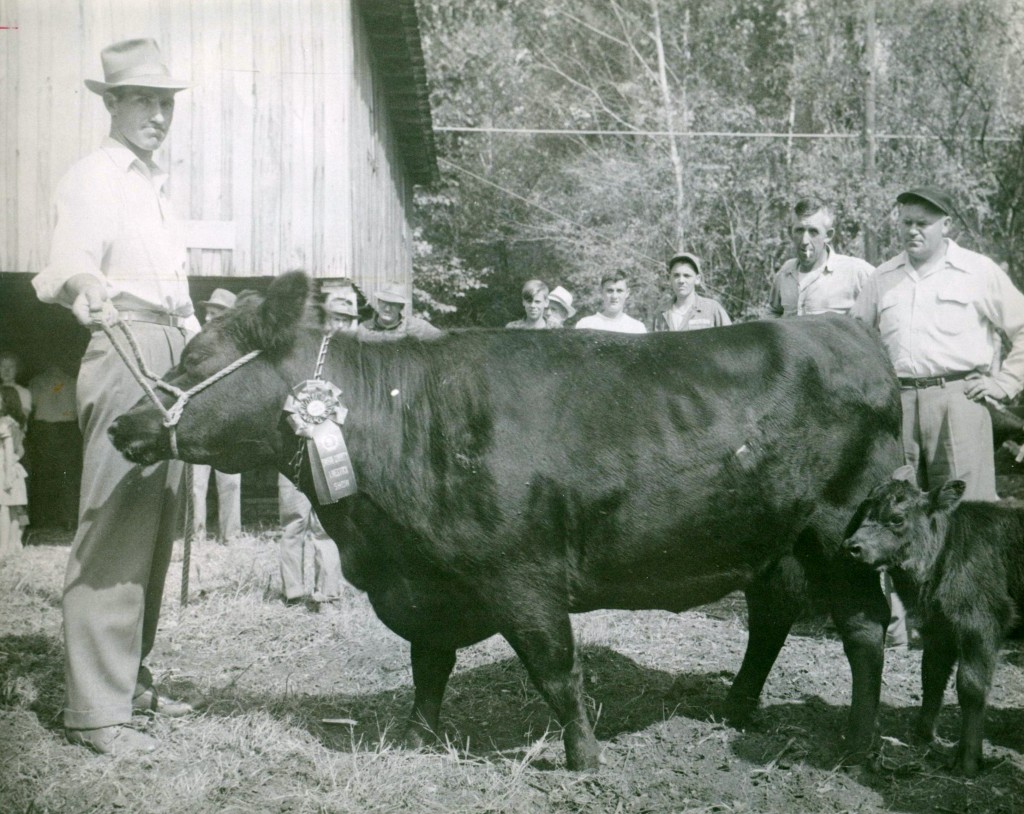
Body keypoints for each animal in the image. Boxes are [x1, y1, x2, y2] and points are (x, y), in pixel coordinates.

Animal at [108, 272, 901, 769]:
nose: (124, 424)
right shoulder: (427, 582)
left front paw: (584, 758)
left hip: (844, 533)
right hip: (776, 539)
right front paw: (418, 736)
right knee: (772, 615)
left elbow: (557, 670)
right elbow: (428, 664)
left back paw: (860, 743)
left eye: (197, 359)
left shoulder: (522, 577)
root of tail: (849, 333)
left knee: (864, 629)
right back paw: (738, 707)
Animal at [843, 477, 1019, 778]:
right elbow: (932, 675)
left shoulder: (981, 622)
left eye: (897, 518)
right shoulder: (938, 628)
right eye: (862, 511)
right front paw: (923, 735)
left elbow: (971, 686)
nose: (852, 546)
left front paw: (967, 760)